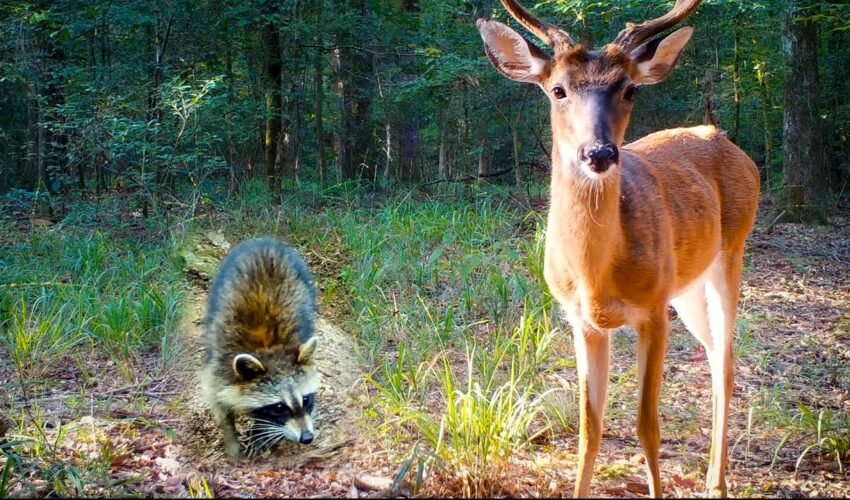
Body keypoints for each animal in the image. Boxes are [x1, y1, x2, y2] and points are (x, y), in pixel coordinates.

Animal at [477, 0, 759, 497]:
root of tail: (725, 139)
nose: (599, 153)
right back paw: (711, 475)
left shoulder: (653, 311)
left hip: (731, 254)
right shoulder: (582, 319)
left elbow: (648, 426)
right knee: (712, 355)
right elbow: (590, 428)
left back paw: (718, 484)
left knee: (726, 364)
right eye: (557, 89)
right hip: (687, 287)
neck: (595, 276)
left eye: (630, 90)